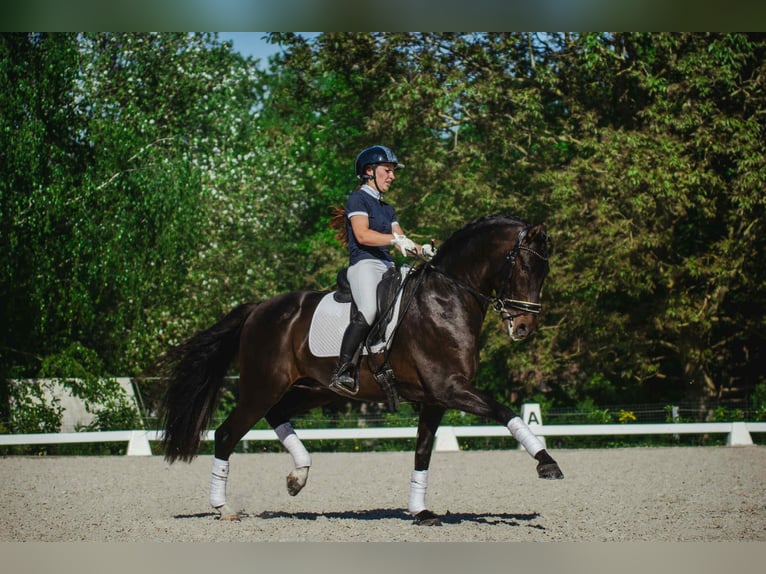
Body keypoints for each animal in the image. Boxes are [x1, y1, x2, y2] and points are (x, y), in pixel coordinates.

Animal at [155, 214, 564, 525]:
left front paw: (420, 512)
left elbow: (422, 451)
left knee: (277, 416)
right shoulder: (450, 388)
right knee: (227, 434)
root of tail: (259, 308)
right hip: (262, 387)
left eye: (544, 271)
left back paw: (298, 476)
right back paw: (223, 507)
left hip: (312, 390)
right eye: (523, 266)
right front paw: (547, 463)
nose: (524, 328)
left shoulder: (435, 398)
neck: (447, 298)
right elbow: (507, 412)